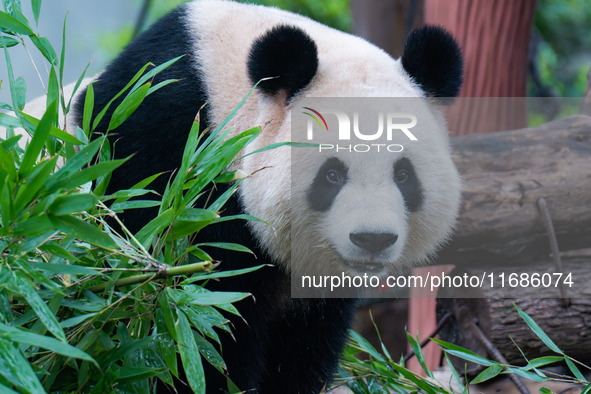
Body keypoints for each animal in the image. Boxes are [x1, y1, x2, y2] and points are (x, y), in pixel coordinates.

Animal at [17, 0, 462, 392]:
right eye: (332, 175)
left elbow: (301, 347)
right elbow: (200, 329)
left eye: (403, 174)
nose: (372, 239)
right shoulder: (163, 160)